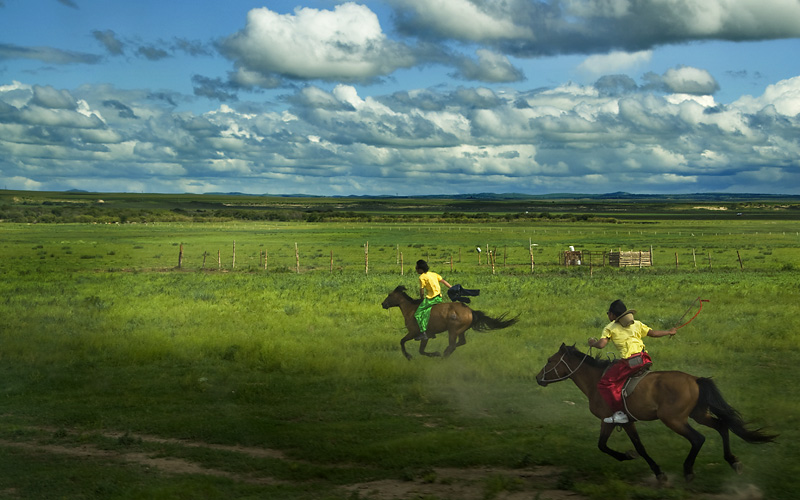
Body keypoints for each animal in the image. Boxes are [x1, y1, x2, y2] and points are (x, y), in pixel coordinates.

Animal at [382, 286, 520, 360]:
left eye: (389, 295)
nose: (383, 304)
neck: (411, 310)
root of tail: (470, 311)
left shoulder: (415, 333)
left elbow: (403, 342)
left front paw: (409, 356)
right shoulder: (424, 336)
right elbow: (420, 350)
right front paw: (435, 353)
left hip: (453, 331)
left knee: (453, 345)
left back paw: (443, 355)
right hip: (460, 331)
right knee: (461, 342)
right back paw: (444, 353)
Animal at [536, 346, 776, 482]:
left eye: (549, 360)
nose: (538, 378)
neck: (596, 382)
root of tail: (695, 380)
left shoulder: (617, 420)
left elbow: (623, 447)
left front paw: (648, 467)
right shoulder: (617, 421)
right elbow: (613, 446)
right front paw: (636, 460)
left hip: (674, 420)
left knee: (698, 438)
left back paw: (688, 470)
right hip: (699, 415)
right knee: (722, 426)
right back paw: (733, 461)